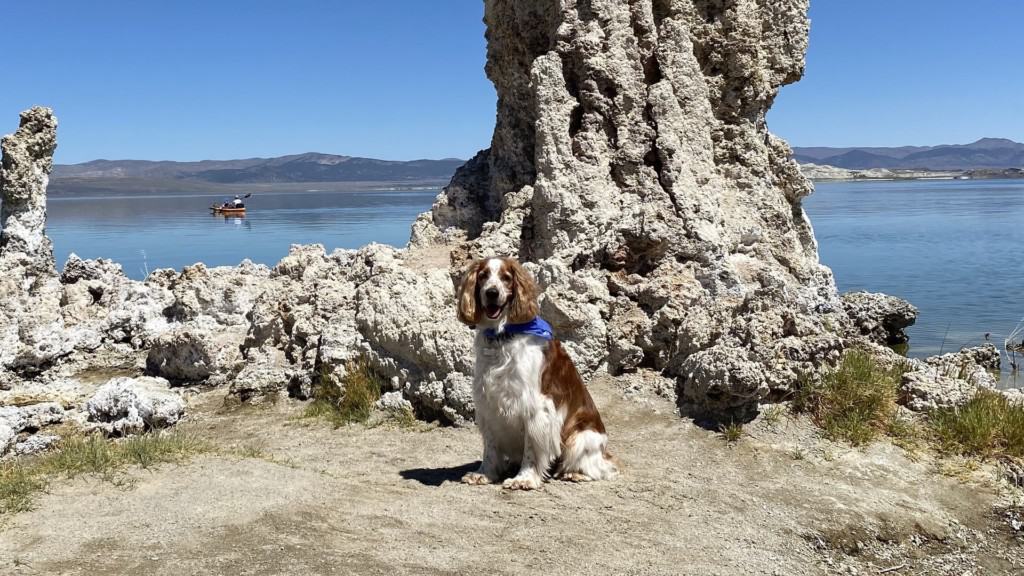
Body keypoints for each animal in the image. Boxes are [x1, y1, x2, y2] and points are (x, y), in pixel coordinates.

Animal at [456, 255, 614, 487]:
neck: (502, 335)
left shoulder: (536, 407)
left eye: (506, 278)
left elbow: (531, 447)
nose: (492, 292)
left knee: (602, 468)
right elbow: (490, 448)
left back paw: (574, 473)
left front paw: (524, 478)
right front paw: (484, 473)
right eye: (483, 276)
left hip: (580, 437)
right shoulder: (488, 403)